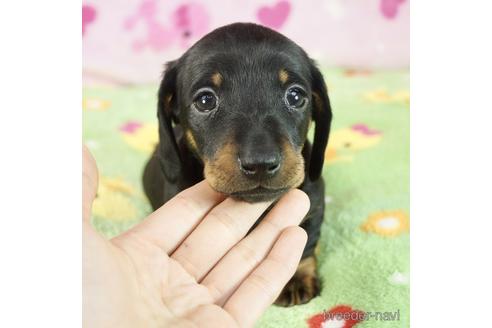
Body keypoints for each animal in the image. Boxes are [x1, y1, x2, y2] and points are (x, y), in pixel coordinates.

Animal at [144, 23, 332, 308]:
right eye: (205, 100)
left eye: (295, 95)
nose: (261, 163)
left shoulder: (314, 203)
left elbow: (305, 240)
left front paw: (296, 278)